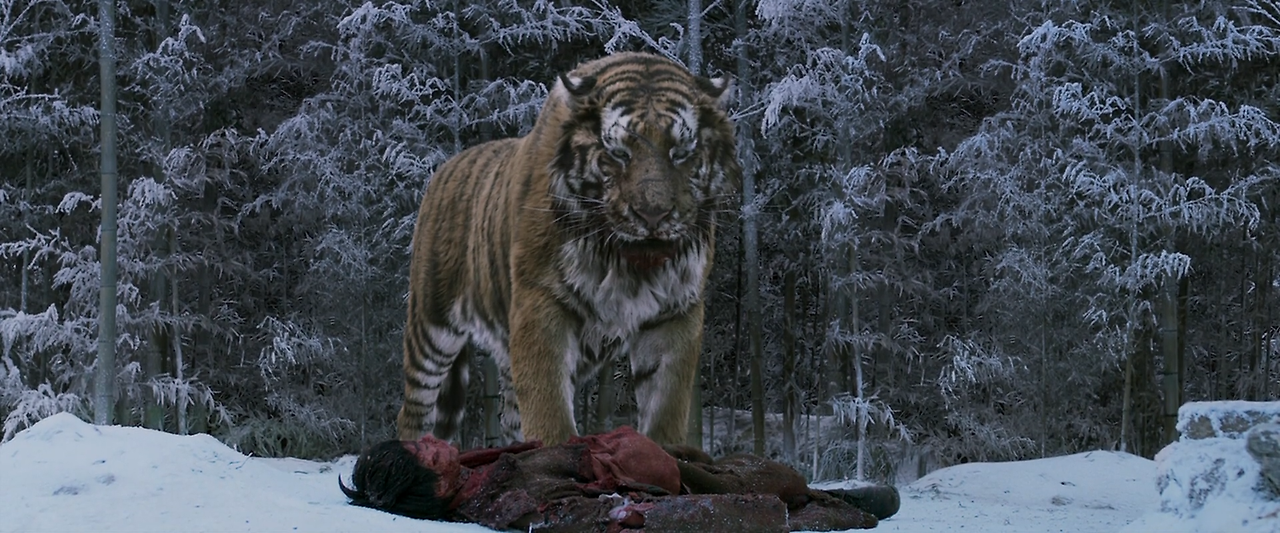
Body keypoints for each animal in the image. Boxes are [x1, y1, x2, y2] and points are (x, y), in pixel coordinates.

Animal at [397, 52, 740, 447]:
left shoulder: (676, 311)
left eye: (680, 153)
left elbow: (666, 403)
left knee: (511, 415)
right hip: (431, 327)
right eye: (619, 153)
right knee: (414, 410)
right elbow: (548, 403)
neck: (628, 262)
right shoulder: (540, 300)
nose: (653, 214)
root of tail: (446, 166)